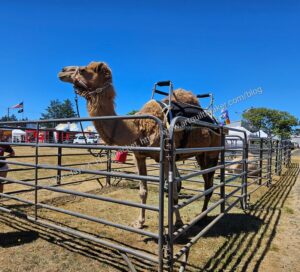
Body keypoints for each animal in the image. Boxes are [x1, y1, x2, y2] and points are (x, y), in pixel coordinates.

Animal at [58, 61, 221, 227]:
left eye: (83, 70)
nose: (62, 71)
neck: (138, 127)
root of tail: (216, 122)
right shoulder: (139, 156)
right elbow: (143, 191)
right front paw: (140, 222)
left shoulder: (166, 157)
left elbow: (174, 191)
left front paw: (178, 222)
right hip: (200, 154)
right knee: (206, 181)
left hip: (213, 152)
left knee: (209, 183)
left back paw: (203, 215)